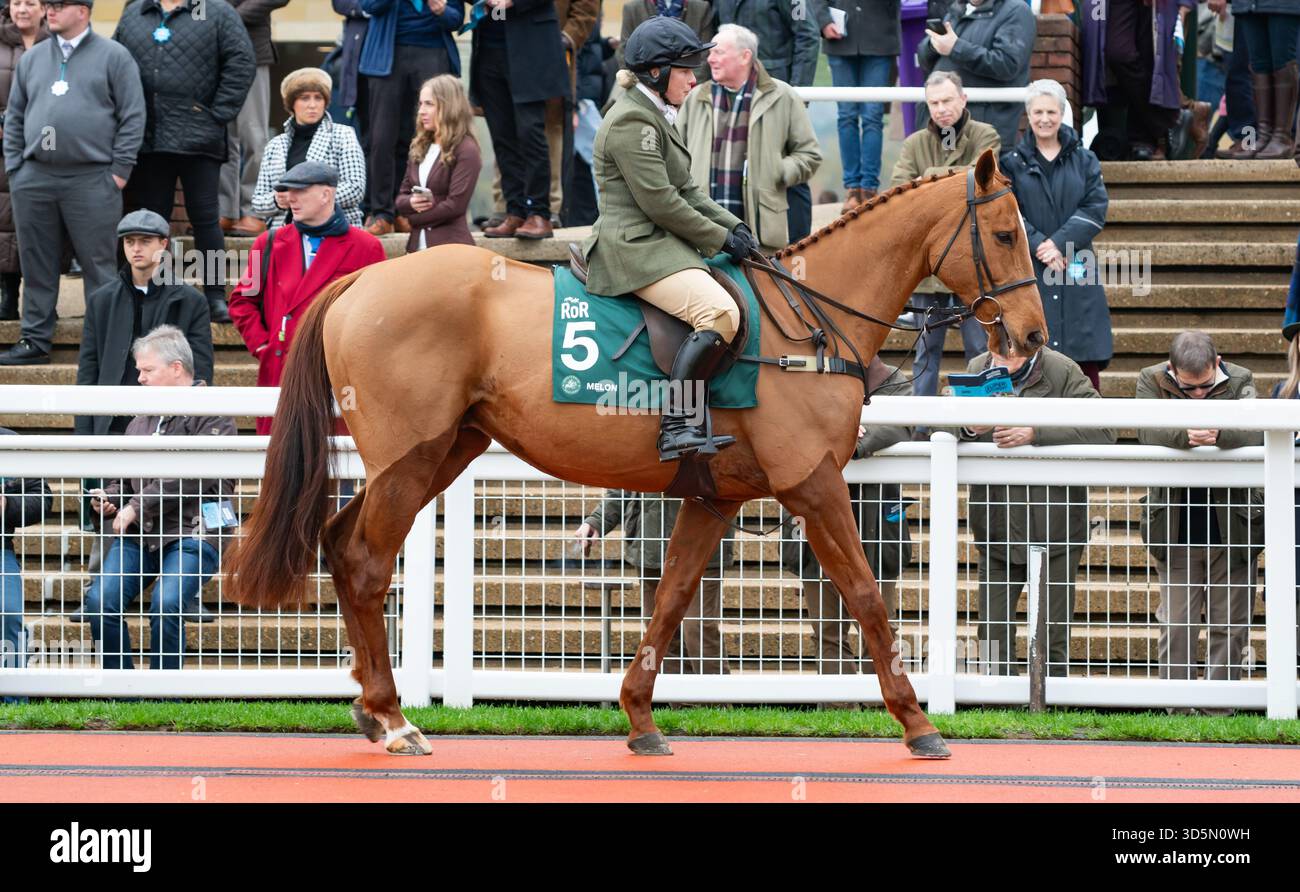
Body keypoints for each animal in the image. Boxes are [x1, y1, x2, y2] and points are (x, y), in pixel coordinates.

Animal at [224, 149, 1048, 758]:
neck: (805, 321)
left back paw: (371, 708)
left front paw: (640, 718)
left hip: (441, 451)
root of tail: (364, 277)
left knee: (341, 545)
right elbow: (869, 597)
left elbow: (672, 598)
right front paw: (918, 724)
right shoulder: (813, 485)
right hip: (410, 458)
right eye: (1006, 234)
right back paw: (395, 718)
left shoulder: (714, 499)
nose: (1034, 334)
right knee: (365, 561)